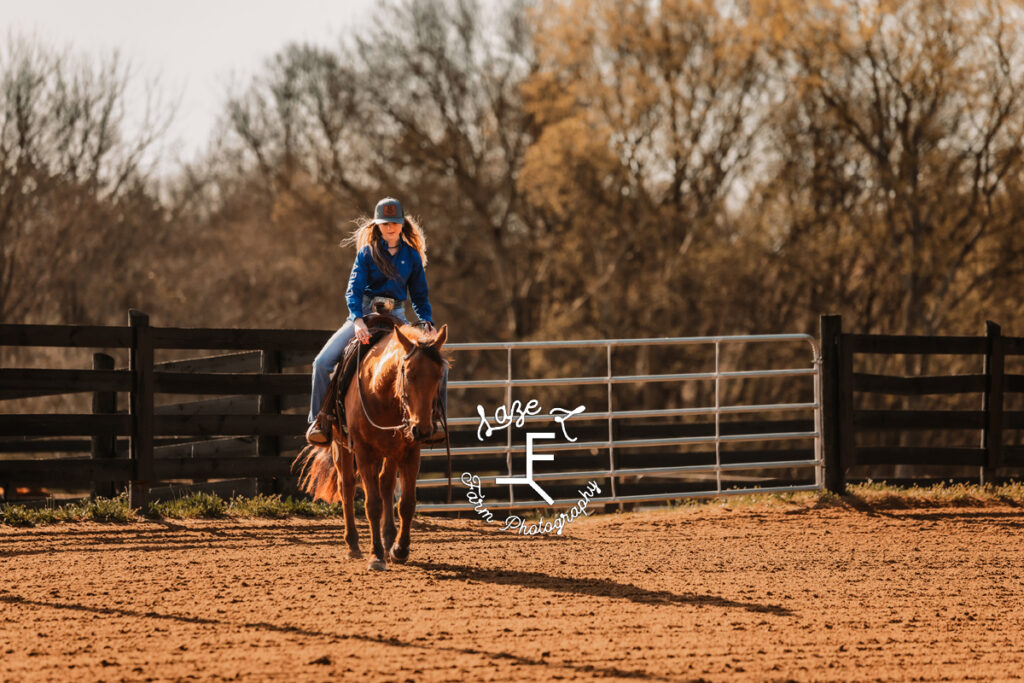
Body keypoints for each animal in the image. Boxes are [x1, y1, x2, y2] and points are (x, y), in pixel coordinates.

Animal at [290, 321, 446, 573]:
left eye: (439, 375)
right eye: (409, 374)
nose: (422, 430)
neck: (379, 391)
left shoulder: (410, 452)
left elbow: (407, 504)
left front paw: (399, 550)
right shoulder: (363, 451)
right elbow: (372, 504)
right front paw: (376, 556)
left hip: (389, 451)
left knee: (385, 484)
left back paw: (389, 540)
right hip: (341, 446)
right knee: (346, 487)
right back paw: (353, 545)